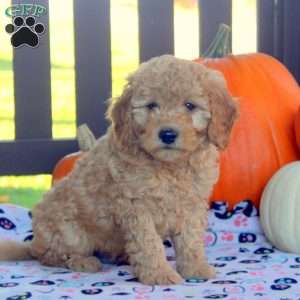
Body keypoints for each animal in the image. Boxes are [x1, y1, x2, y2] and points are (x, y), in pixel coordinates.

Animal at [0, 55, 239, 284]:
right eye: (151, 106)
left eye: (190, 106)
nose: (168, 134)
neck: (170, 166)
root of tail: (34, 243)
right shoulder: (137, 207)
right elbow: (149, 244)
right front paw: (159, 274)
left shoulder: (192, 205)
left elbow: (191, 240)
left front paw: (196, 268)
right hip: (68, 232)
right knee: (51, 256)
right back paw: (83, 262)